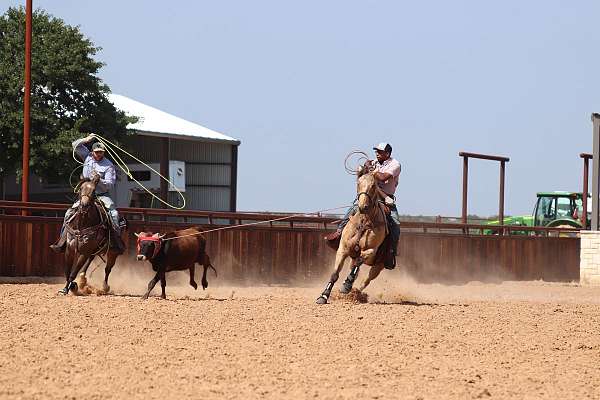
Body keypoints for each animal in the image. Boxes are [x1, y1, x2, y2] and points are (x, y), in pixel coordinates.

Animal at [316, 166, 386, 304]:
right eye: (358, 183)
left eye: (373, 185)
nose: (363, 206)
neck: (364, 222)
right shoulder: (343, 249)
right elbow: (335, 274)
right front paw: (323, 296)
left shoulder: (371, 251)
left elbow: (360, 260)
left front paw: (346, 285)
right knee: (355, 269)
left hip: (379, 266)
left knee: (366, 279)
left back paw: (356, 292)